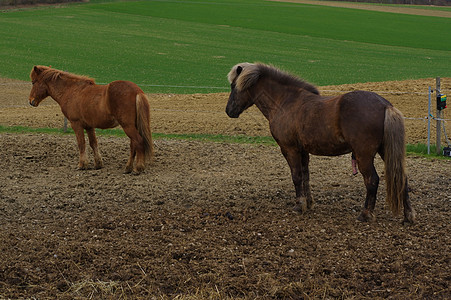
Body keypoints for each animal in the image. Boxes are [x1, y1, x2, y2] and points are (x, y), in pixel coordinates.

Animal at [226, 62, 416, 223]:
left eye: (233, 86)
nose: (229, 111)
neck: (285, 102)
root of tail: (385, 105)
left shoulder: (289, 149)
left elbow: (296, 176)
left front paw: (299, 205)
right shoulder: (303, 151)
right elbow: (305, 175)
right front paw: (308, 203)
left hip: (364, 155)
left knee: (372, 180)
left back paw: (365, 214)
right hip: (385, 151)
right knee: (402, 178)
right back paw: (408, 216)